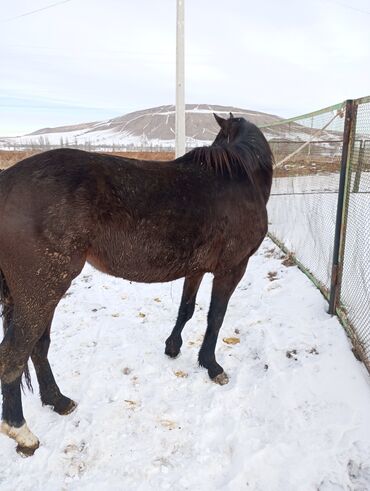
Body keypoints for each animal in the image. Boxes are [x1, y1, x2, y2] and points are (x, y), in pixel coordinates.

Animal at [0, 113, 274, 456]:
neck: (241, 178)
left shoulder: (196, 270)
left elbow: (186, 309)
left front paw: (173, 347)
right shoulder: (232, 269)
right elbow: (215, 318)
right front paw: (212, 366)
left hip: (41, 293)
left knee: (38, 347)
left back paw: (58, 401)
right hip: (42, 290)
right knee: (14, 353)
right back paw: (22, 431)